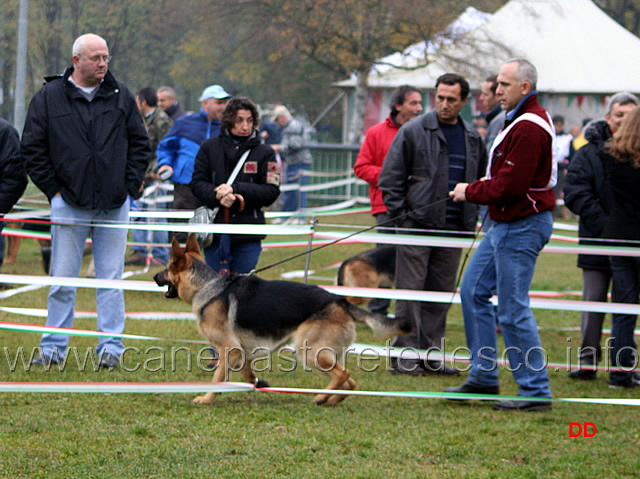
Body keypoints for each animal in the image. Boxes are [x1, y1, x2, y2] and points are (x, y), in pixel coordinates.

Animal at [152, 234, 408, 406]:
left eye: (167, 268)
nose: (154, 276)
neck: (206, 286)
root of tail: (339, 300)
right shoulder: (242, 351)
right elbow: (245, 372)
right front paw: (256, 382)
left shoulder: (229, 349)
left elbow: (218, 377)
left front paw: (206, 399)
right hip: (324, 353)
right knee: (350, 381)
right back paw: (333, 399)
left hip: (309, 351)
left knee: (343, 375)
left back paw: (322, 396)